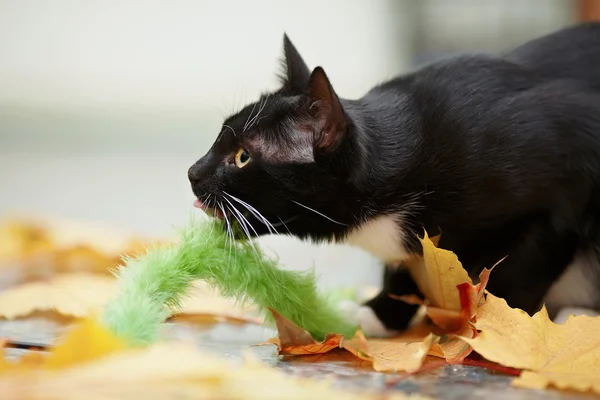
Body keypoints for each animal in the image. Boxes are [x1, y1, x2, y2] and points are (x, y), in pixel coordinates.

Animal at [188, 23, 600, 336]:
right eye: (220, 137)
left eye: (242, 157)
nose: (192, 172)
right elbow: (401, 271)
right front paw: (375, 316)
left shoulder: (564, 189)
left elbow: (520, 277)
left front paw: (496, 330)